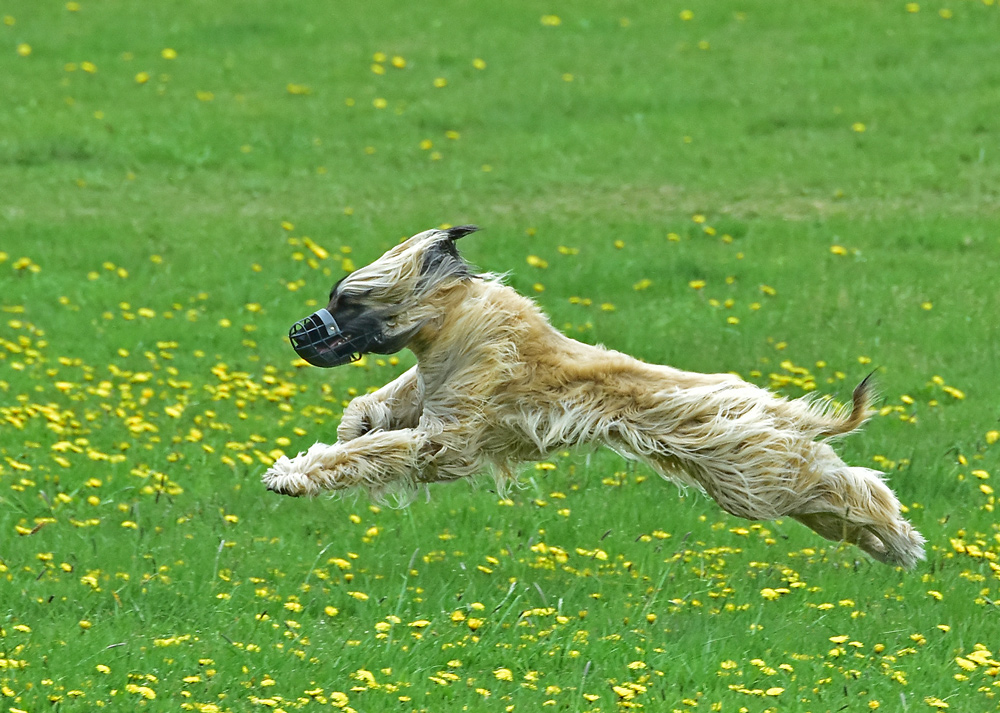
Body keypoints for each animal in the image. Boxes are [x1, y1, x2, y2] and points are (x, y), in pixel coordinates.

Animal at [262, 225, 924, 572]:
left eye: (346, 300)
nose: (298, 334)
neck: (451, 322)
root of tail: (761, 399)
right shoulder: (433, 388)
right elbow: (378, 412)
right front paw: (350, 431)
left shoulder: (454, 430)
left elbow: (406, 447)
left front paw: (294, 474)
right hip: (754, 469)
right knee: (835, 489)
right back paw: (891, 545)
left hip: (749, 468)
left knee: (851, 485)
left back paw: (902, 539)